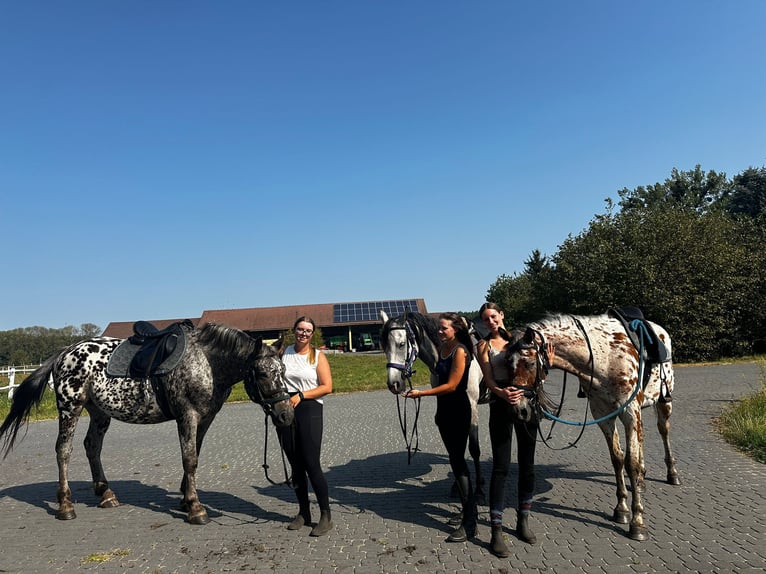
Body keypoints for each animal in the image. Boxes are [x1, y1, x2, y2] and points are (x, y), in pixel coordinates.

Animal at [0, 324, 296, 528]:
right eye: (261, 373)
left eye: (282, 371)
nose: (286, 415)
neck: (206, 363)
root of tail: (64, 352)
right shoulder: (187, 416)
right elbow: (189, 459)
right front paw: (196, 509)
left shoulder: (205, 418)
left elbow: (194, 456)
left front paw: (185, 499)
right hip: (70, 407)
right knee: (64, 450)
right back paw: (65, 506)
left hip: (98, 412)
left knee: (91, 447)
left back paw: (106, 494)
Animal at [380, 310, 488, 504]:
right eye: (384, 346)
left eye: (401, 344)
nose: (394, 384)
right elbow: (455, 448)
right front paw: (457, 487)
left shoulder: (472, 408)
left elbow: (474, 449)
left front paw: (480, 491)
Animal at [508, 308, 680, 544]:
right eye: (508, 363)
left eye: (530, 364)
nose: (520, 409)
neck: (605, 358)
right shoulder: (603, 414)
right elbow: (618, 459)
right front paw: (622, 509)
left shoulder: (629, 411)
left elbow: (631, 463)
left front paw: (637, 522)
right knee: (641, 439)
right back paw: (643, 481)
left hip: (664, 402)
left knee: (664, 432)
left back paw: (672, 474)